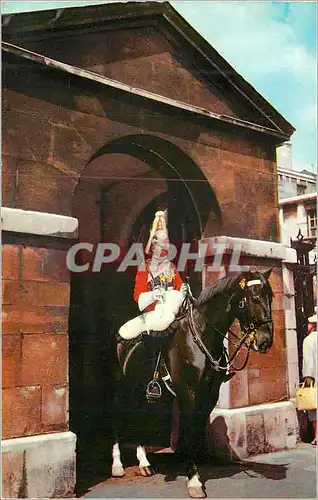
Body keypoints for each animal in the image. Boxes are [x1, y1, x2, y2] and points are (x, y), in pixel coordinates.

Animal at [109, 272, 274, 498]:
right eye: (254, 298)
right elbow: (188, 431)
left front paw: (196, 469)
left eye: (271, 298)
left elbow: (197, 429)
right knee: (118, 419)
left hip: (144, 393)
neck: (200, 337)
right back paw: (117, 466)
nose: (266, 341)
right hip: (123, 389)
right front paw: (193, 479)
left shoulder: (210, 395)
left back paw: (144, 463)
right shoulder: (189, 393)